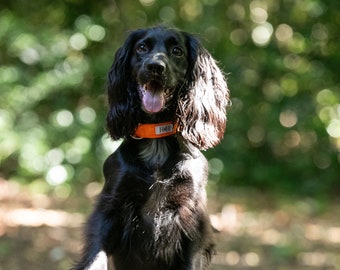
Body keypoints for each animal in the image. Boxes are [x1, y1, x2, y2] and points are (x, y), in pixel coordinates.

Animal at [73, 25, 230, 270]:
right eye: (141, 48)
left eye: (177, 51)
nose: (155, 66)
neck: (157, 143)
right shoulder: (110, 207)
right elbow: (95, 256)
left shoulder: (192, 217)